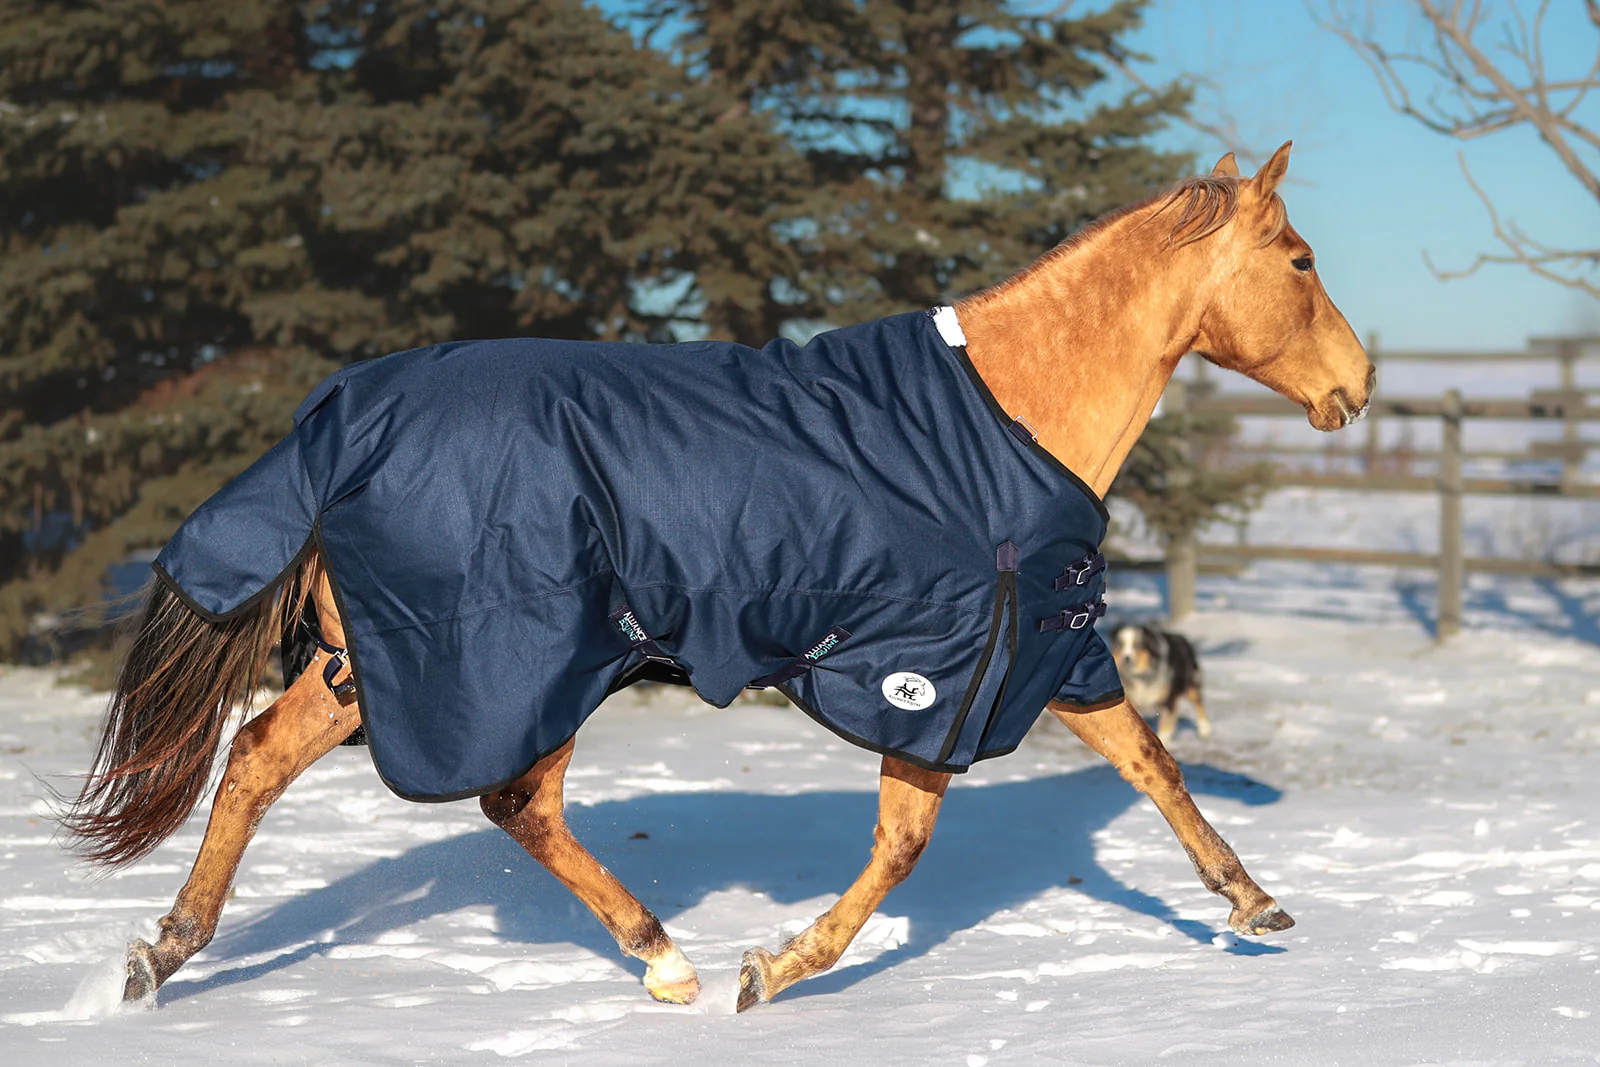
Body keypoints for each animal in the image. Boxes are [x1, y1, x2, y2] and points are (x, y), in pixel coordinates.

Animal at [61, 142, 1372, 1013]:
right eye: (1302, 258)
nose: (1355, 385)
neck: (1000, 418)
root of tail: (337, 426)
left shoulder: (1045, 644)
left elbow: (1152, 763)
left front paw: (1252, 901)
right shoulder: (934, 670)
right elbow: (905, 841)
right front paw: (775, 968)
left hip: (373, 663)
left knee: (255, 759)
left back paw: (159, 956)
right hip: (523, 662)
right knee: (513, 801)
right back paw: (666, 956)